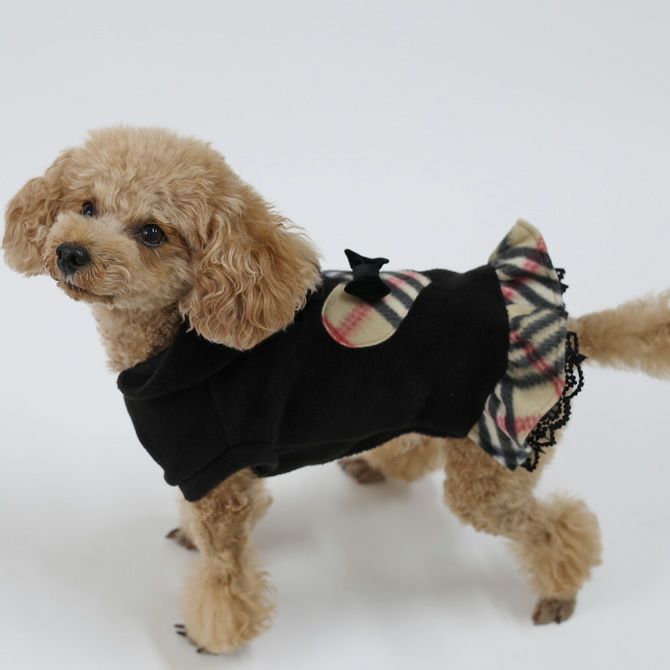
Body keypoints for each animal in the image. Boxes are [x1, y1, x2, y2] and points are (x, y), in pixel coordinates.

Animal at [4, 126, 670, 654]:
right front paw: (188, 538)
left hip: (497, 457)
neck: (180, 338)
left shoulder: (213, 474)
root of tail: (565, 327)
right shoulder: (223, 478)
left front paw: (212, 635)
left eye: (151, 232)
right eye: (85, 205)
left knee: (557, 524)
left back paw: (561, 591)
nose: (70, 252)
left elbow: (226, 573)